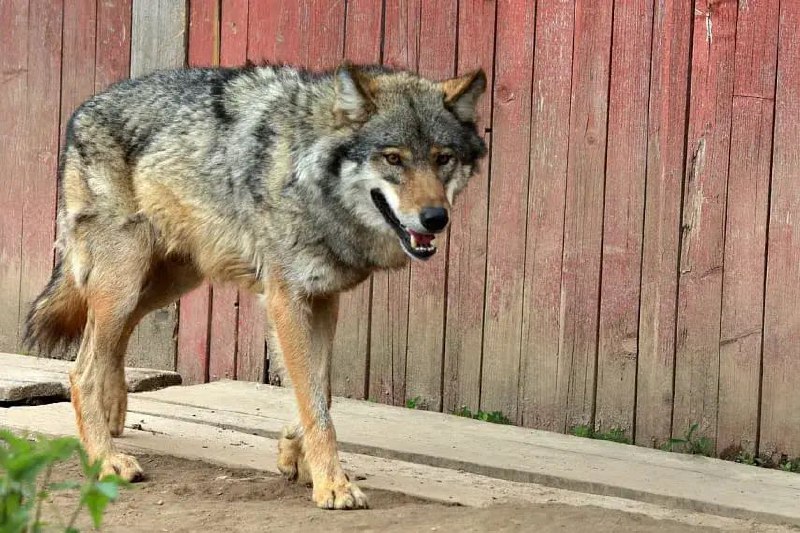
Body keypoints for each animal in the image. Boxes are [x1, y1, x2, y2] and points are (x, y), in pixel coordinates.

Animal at [23, 61, 488, 508]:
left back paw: (113, 416)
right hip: (126, 282)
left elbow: (321, 392)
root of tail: (84, 108)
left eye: (443, 158)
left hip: (164, 285)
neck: (309, 174)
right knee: (80, 370)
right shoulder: (287, 300)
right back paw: (106, 459)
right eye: (393, 159)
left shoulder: (323, 298)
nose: (435, 218)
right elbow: (315, 402)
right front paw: (333, 486)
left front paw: (295, 454)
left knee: (106, 345)